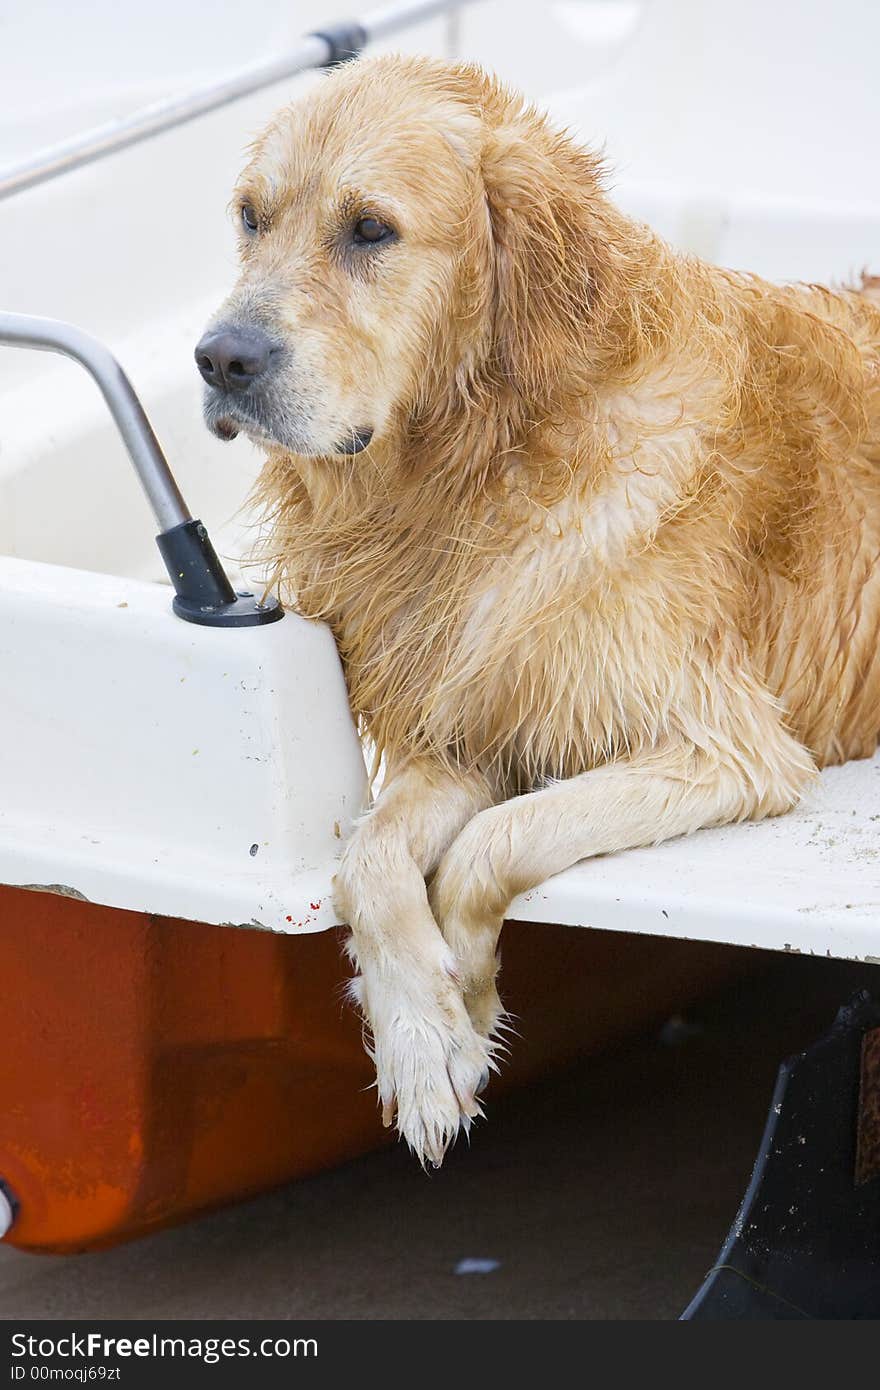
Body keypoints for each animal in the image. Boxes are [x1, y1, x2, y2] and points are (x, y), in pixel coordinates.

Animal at [196, 54, 878, 1162]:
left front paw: (467, 1009)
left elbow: (489, 848)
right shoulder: (463, 724)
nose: (220, 359)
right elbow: (366, 858)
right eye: (251, 217)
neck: (480, 468)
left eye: (370, 228)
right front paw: (420, 1042)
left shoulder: (726, 749)